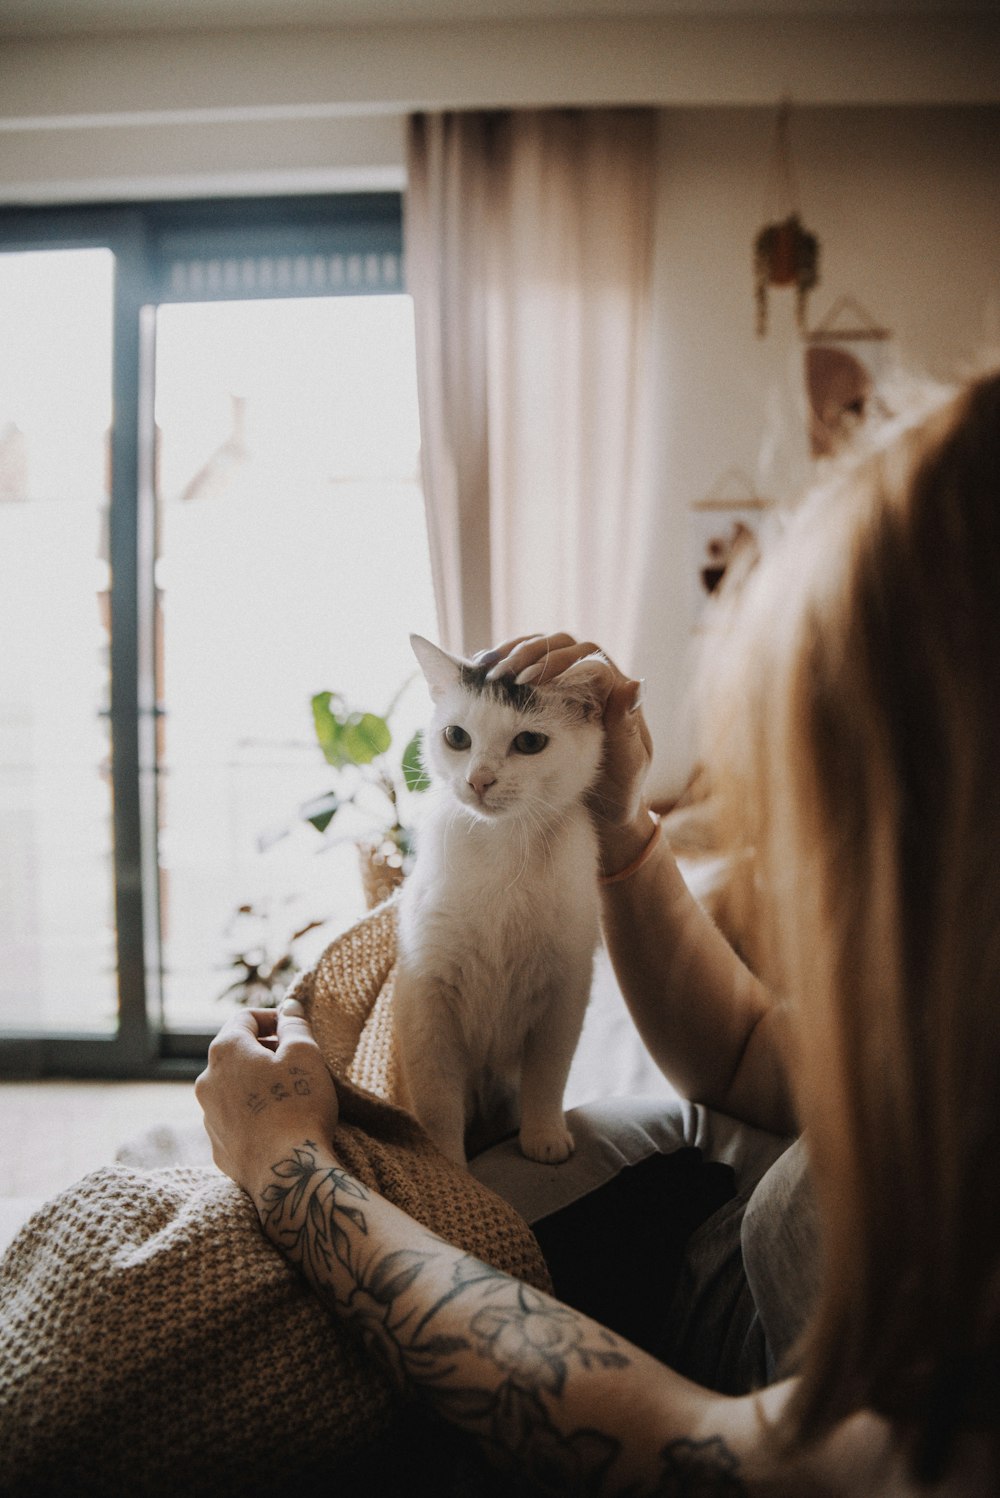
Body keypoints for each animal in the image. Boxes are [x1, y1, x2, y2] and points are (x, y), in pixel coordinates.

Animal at [395, 632, 604, 1168]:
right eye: (456, 736)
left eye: (529, 742)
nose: (479, 779)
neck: (504, 846)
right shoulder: (427, 993)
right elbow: (437, 1099)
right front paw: (450, 1167)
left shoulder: (565, 991)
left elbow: (548, 1074)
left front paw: (544, 1136)